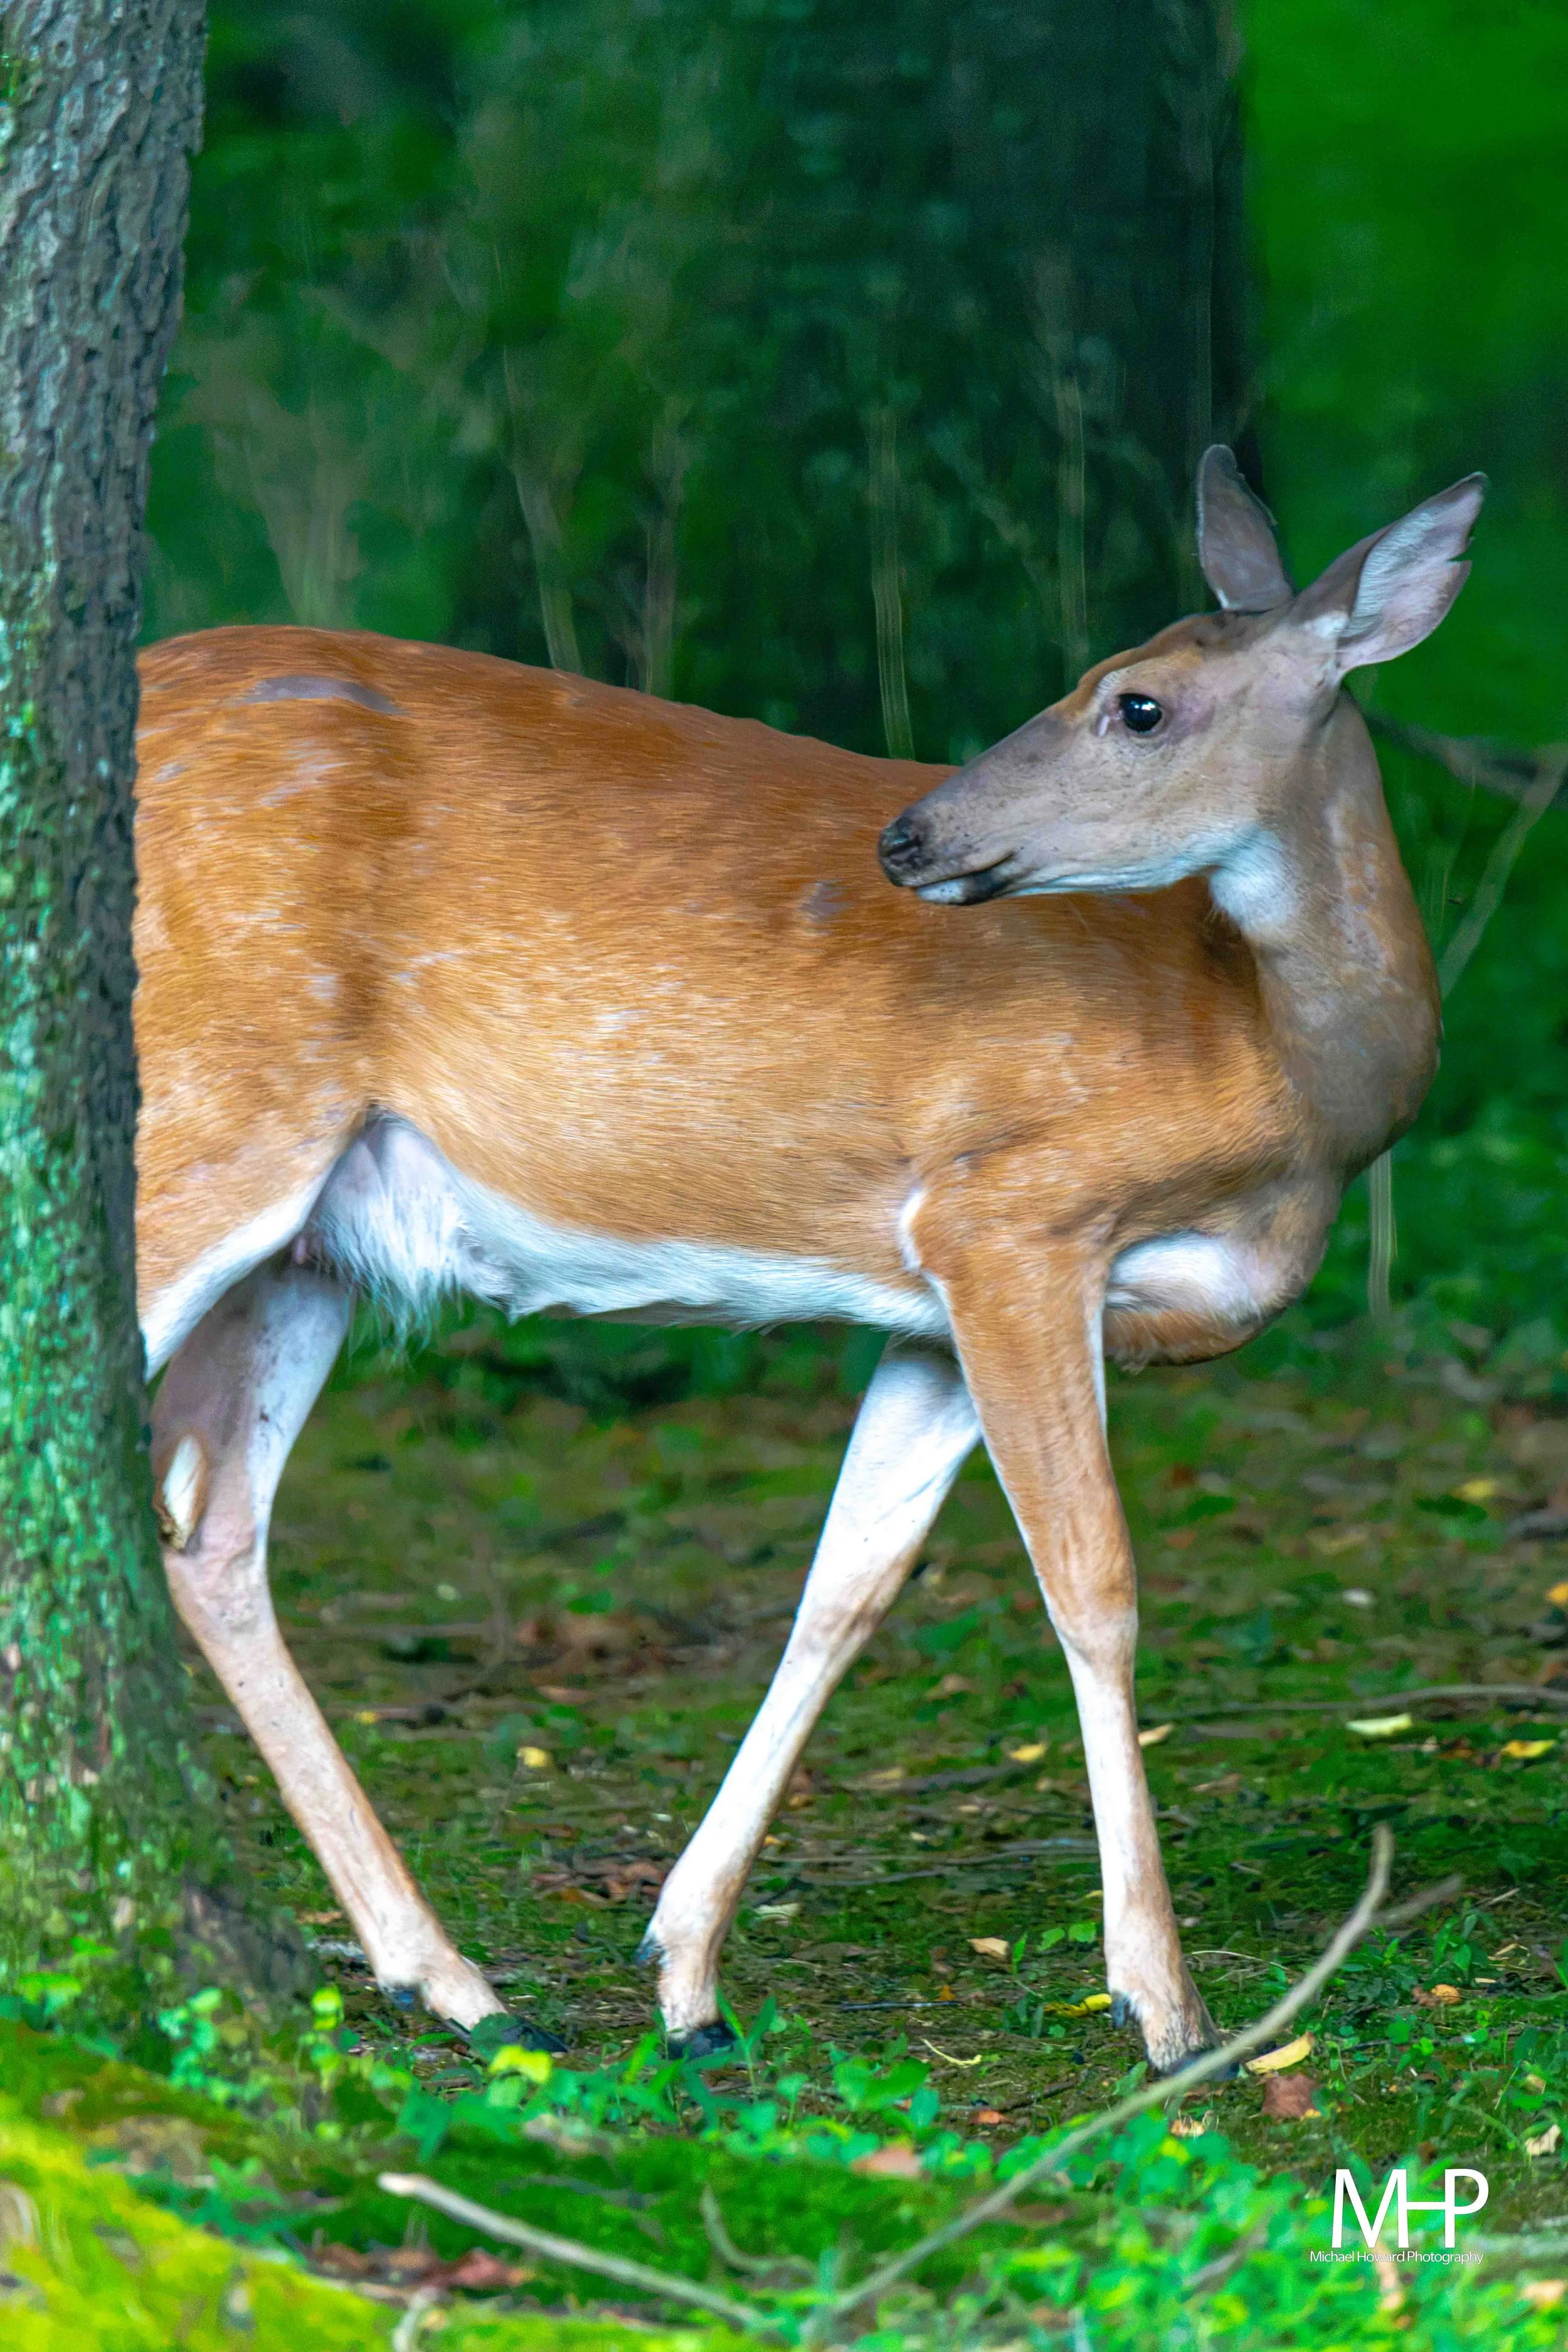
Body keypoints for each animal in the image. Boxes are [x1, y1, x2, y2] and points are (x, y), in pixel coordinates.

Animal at [136, 449, 1482, 2071]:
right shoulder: (1009, 1217)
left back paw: (444, 1975)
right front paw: (1163, 2005)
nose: (910, 834)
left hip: (310, 1245)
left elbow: (843, 1589)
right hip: (205, 1110)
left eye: (1137, 703)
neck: (1285, 1068)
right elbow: (1092, 1587)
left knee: (211, 1524)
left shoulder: (925, 1312)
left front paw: (684, 1971)